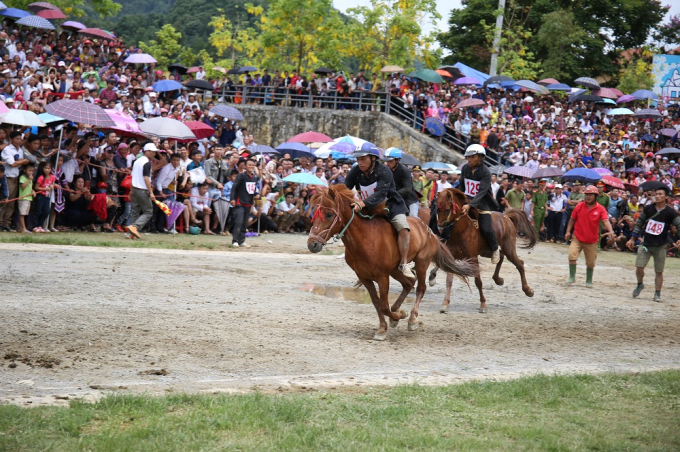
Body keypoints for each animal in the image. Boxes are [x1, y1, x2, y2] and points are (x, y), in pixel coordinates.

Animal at [308, 185, 478, 340]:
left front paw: (398, 317)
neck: (365, 239)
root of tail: (428, 230)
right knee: (408, 284)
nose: (312, 244)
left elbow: (384, 306)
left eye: (329, 214)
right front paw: (384, 326)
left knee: (420, 288)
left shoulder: (382, 276)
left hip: (421, 262)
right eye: (314, 214)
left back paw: (412, 319)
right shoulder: (364, 277)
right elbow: (377, 303)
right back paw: (397, 310)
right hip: (395, 269)